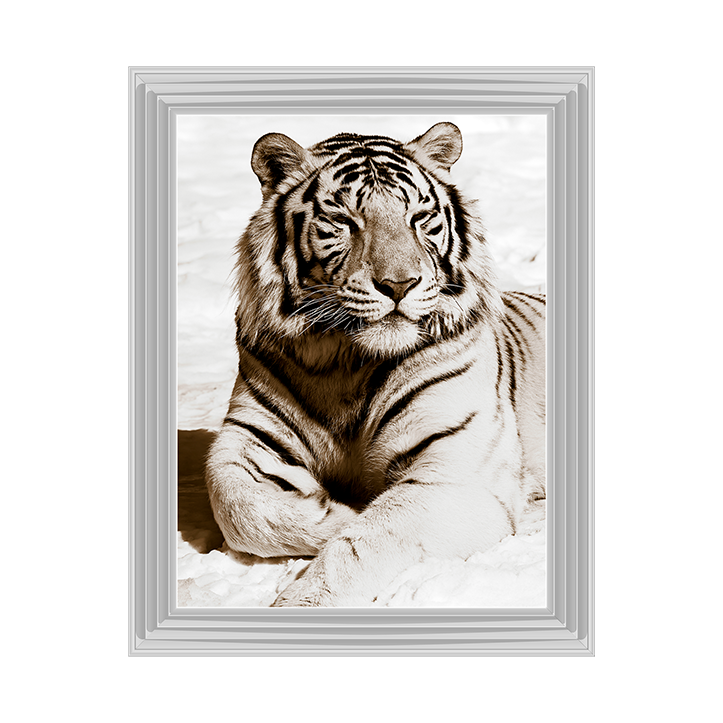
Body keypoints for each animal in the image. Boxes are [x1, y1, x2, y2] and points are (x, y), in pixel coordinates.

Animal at [205, 122, 546, 607]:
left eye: (419, 218)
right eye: (345, 221)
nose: (399, 285)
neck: (346, 361)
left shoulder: (456, 473)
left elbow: (367, 541)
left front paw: (305, 597)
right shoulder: (247, 437)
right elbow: (237, 507)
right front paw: (338, 510)